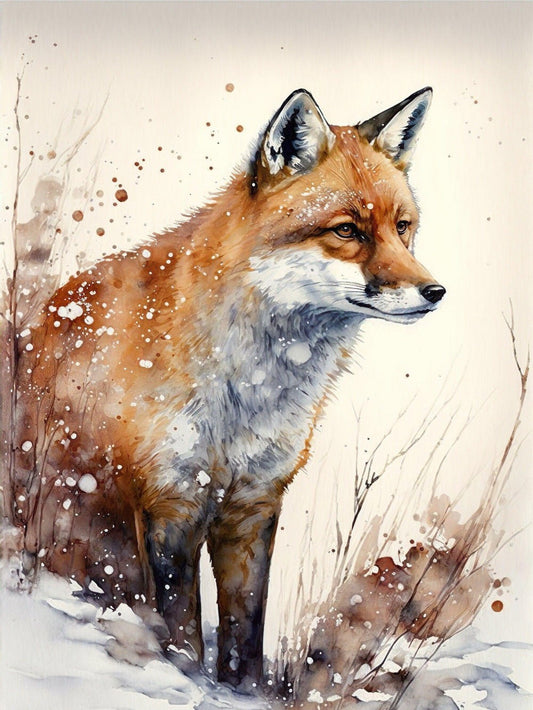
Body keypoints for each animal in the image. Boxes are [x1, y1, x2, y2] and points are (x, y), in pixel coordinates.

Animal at [13, 87, 445, 689]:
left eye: (402, 227)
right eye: (347, 231)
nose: (435, 292)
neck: (248, 390)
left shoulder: (254, 503)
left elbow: (245, 633)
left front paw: (242, 692)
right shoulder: (170, 501)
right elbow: (182, 635)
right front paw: (184, 681)